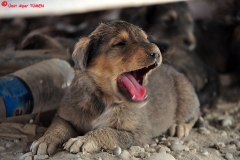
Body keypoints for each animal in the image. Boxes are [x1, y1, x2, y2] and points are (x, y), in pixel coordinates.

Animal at [31, 20, 200, 155]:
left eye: (145, 39)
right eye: (120, 44)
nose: (157, 52)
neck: (103, 100)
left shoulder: (138, 133)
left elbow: (107, 131)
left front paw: (83, 140)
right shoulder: (64, 114)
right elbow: (57, 127)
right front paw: (44, 140)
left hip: (185, 92)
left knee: (194, 113)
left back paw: (179, 126)